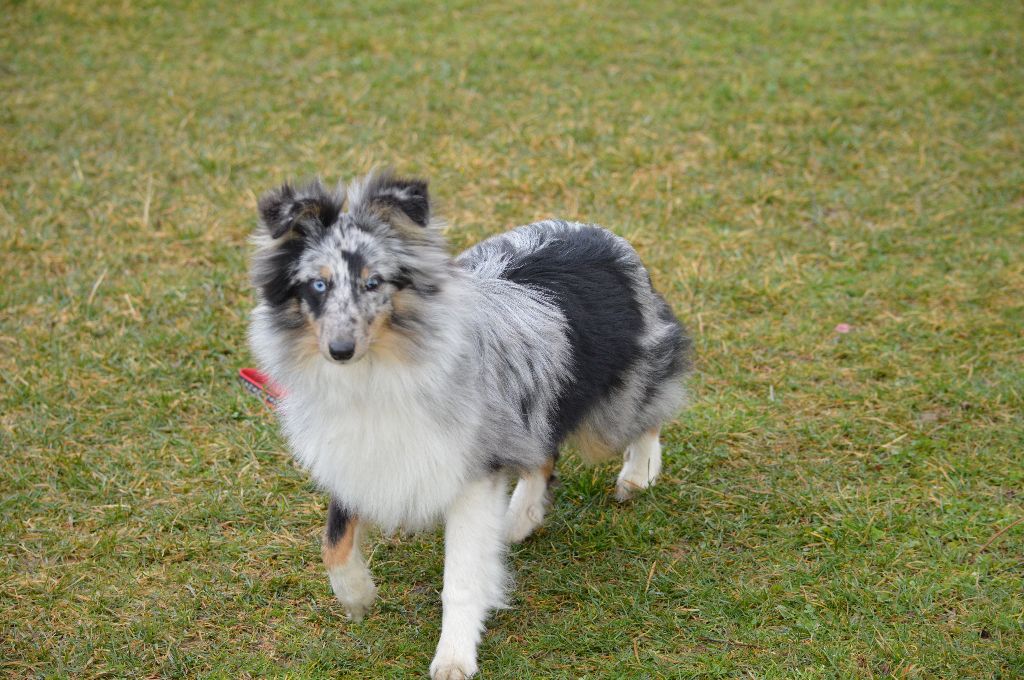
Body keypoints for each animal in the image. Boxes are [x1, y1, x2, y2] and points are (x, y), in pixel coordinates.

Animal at [248, 171, 692, 680]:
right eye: (318, 285)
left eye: (373, 282)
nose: (339, 350)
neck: (382, 368)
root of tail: (604, 238)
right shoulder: (356, 452)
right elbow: (334, 539)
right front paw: (357, 594)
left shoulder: (472, 471)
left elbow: (460, 578)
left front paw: (454, 657)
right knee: (543, 456)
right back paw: (518, 520)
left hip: (606, 409)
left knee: (650, 407)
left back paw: (638, 473)